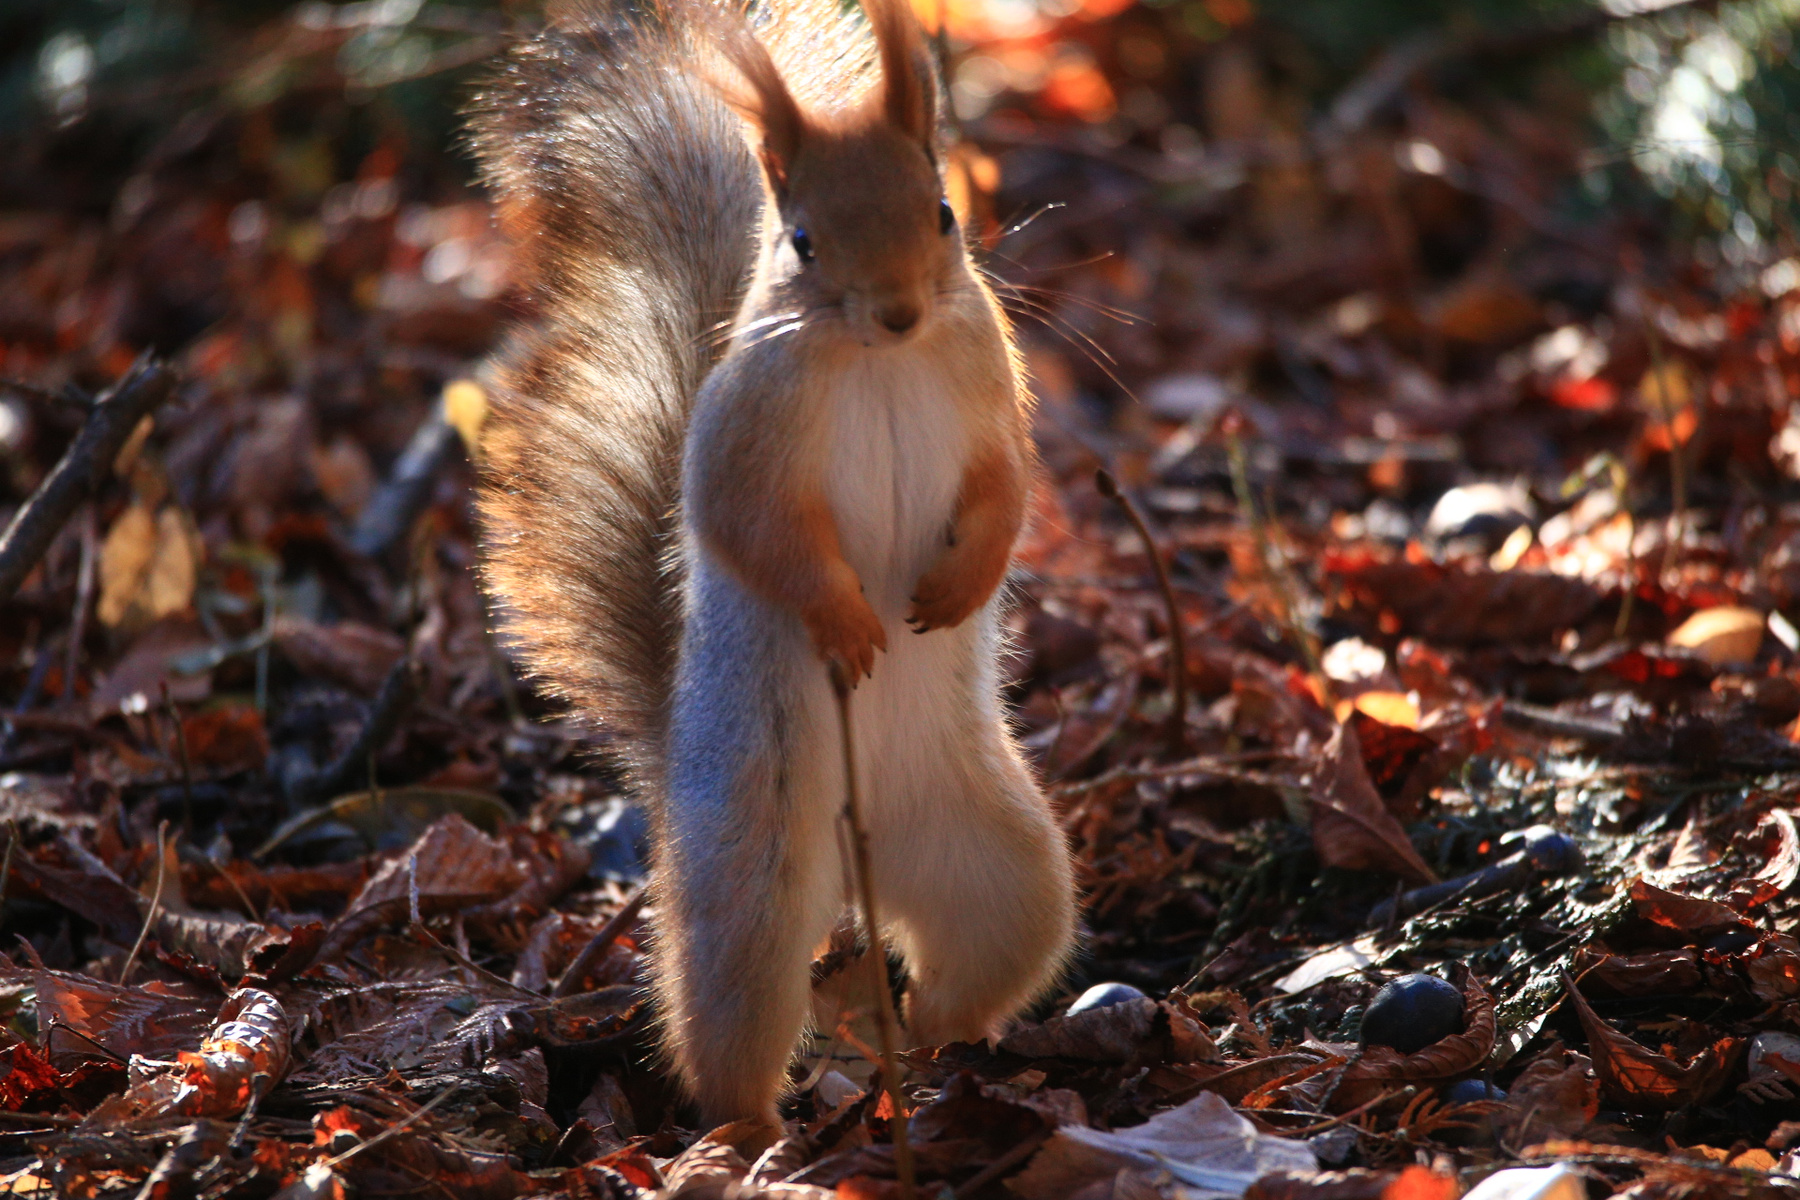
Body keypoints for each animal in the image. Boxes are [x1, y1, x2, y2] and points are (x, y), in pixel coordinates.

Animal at [469, 0, 1076, 1126]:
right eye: (801, 240)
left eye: (943, 212)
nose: (898, 309)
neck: (883, 361)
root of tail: (856, 880)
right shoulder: (745, 443)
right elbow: (759, 535)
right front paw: (847, 622)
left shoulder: (992, 395)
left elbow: (1008, 494)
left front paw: (957, 587)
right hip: (749, 874)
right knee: (731, 1026)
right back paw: (754, 1133)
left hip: (1003, 860)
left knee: (990, 949)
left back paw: (935, 1039)